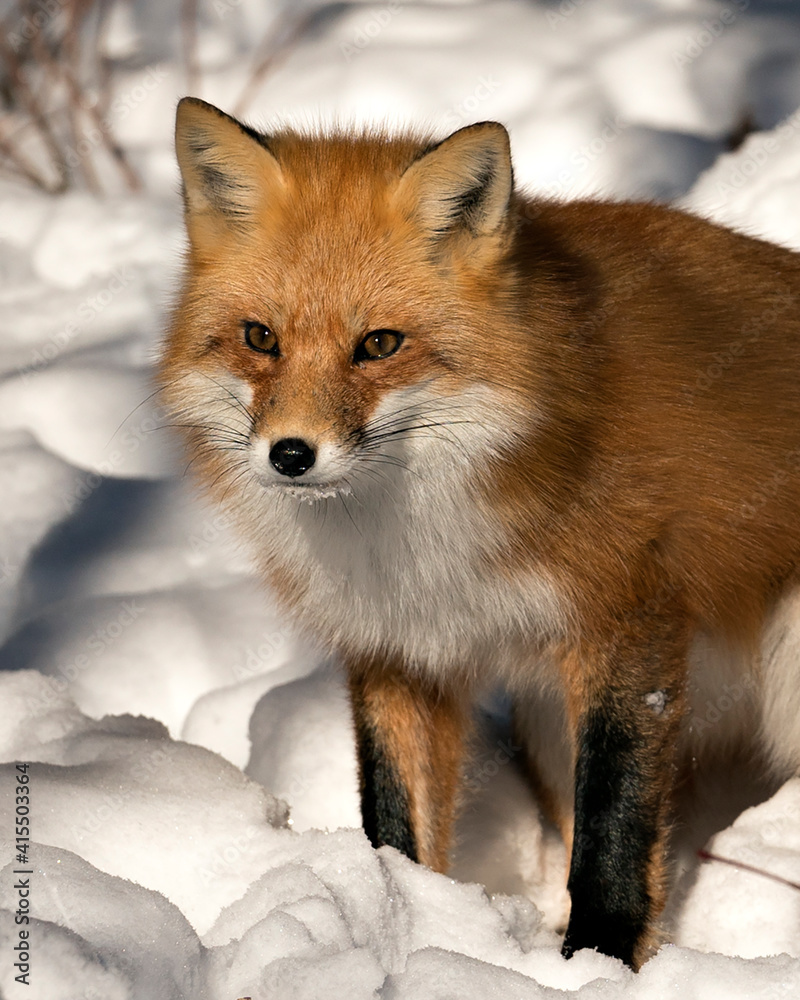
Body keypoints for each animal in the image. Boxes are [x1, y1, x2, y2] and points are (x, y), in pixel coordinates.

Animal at [160, 96, 800, 969]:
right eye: (262, 338)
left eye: (379, 345)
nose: (290, 454)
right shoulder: (397, 646)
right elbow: (396, 824)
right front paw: (407, 926)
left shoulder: (632, 623)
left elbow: (615, 825)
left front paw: (598, 963)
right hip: (544, 718)